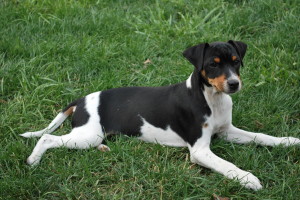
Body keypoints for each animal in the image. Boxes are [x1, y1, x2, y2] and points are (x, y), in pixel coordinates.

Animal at [19, 40, 298, 191]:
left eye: (236, 61)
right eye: (212, 64)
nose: (233, 84)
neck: (211, 98)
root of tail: (80, 100)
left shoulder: (226, 131)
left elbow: (261, 136)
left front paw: (289, 141)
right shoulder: (200, 150)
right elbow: (226, 164)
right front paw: (248, 179)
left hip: (90, 137)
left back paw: (105, 149)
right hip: (86, 135)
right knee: (48, 138)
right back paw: (33, 160)